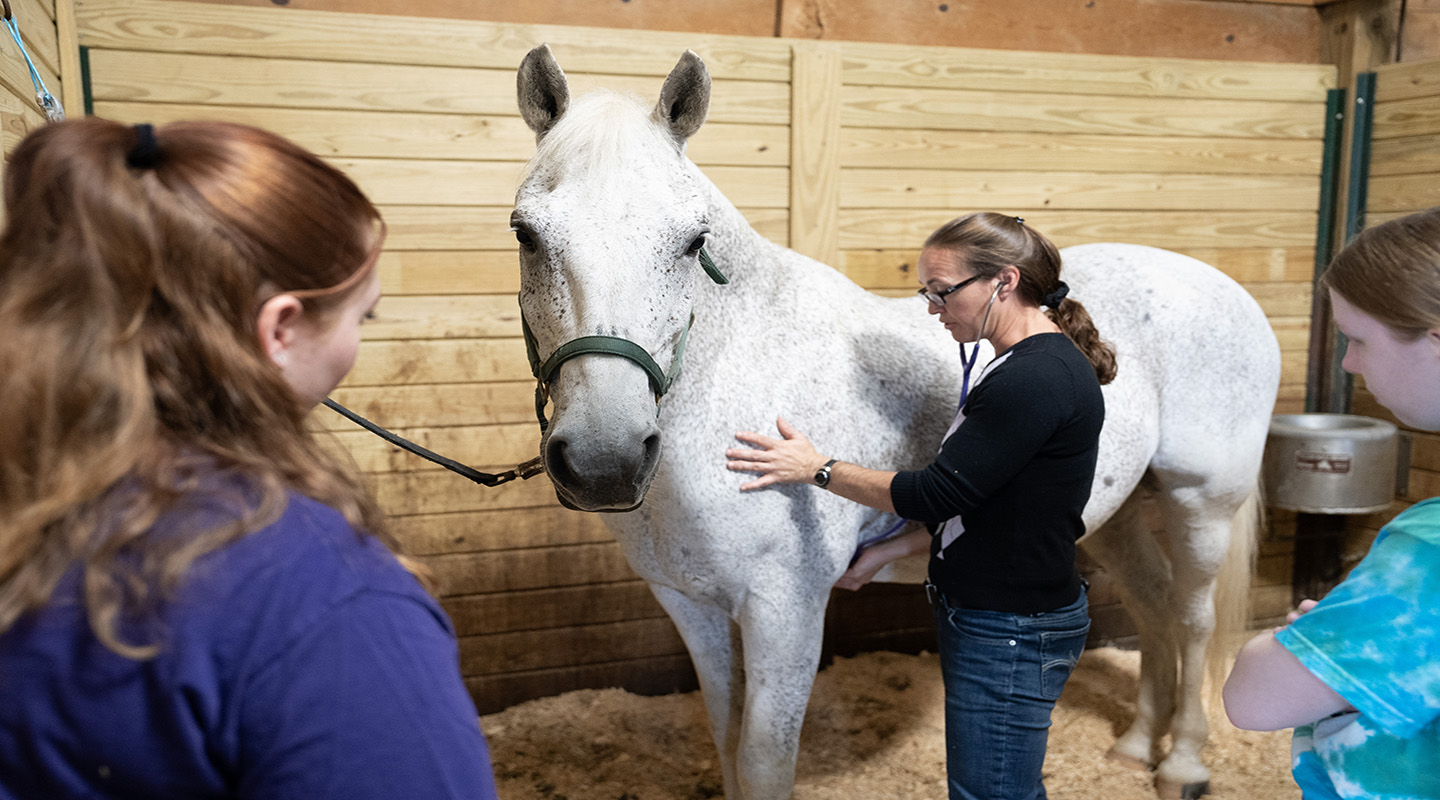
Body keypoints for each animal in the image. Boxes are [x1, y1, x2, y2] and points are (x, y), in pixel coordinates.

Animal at [511, 44, 1280, 800]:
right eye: (525, 234)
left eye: (692, 240)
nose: (605, 458)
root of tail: (1221, 286)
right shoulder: (690, 604)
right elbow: (725, 743)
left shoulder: (785, 611)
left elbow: (763, 762)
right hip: (1114, 513)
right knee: (1153, 603)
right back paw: (1135, 748)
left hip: (1201, 502)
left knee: (1192, 616)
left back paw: (1182, 764)